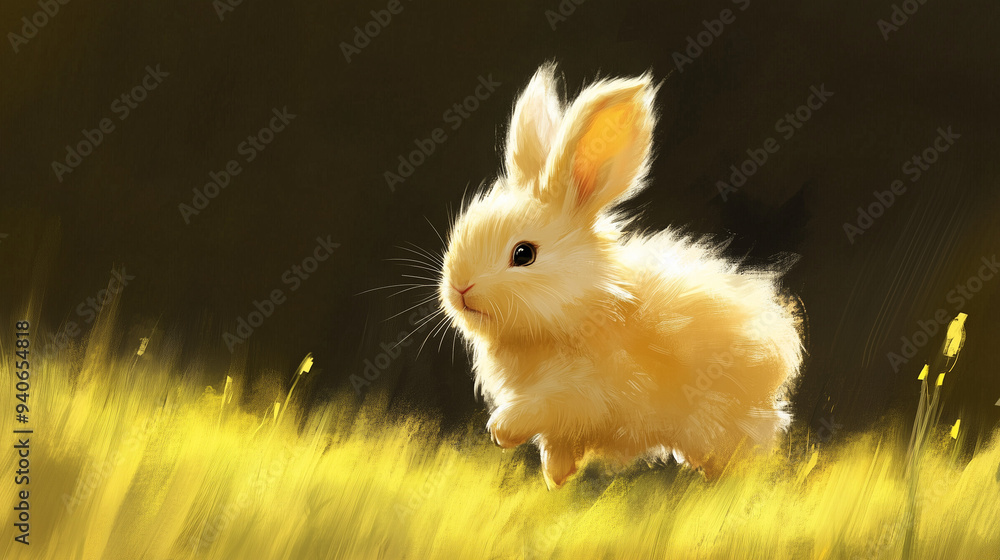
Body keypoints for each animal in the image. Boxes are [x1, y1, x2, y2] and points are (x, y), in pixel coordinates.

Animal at [438, 63, 804, 488]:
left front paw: (501, 431)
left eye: (523, 254)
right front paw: (555, 481)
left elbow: (543, 410)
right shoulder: (561, 423)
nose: (459, 289)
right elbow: (555, 447)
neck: (578, 309)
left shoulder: (580, 394)